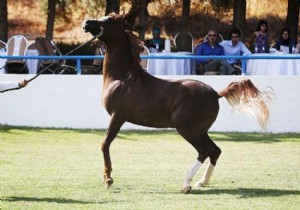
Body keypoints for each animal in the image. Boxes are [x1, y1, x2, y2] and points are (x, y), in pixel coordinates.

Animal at [82, 13, 272, 194]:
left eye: (108, 19)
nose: (86, 23)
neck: (123, 77)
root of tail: (215, 94)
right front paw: (107, 178)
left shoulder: (118, 116)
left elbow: (105, 143)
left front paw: (108, 179)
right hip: (201, 131)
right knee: (215, 151)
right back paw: (202, 182)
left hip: (188, 130)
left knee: (204, 151)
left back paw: (187, 184)